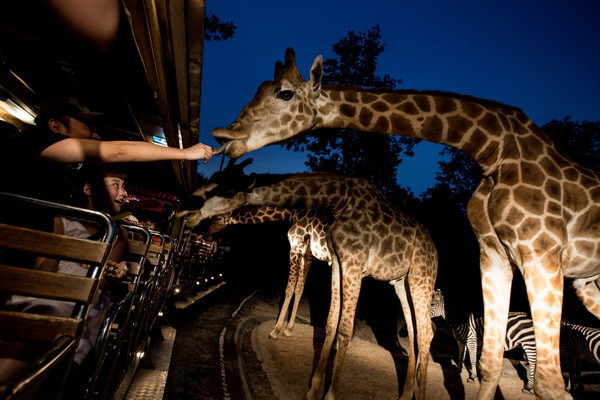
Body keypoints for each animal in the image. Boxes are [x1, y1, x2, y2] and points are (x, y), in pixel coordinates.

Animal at [202, 205, 332, 340]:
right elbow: (299, 289)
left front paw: (276, 329)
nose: (205, 233)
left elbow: (289, 288)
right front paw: (289, 329)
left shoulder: (295, 248)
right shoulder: (307, 254)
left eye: (217, 217)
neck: (294, 213)